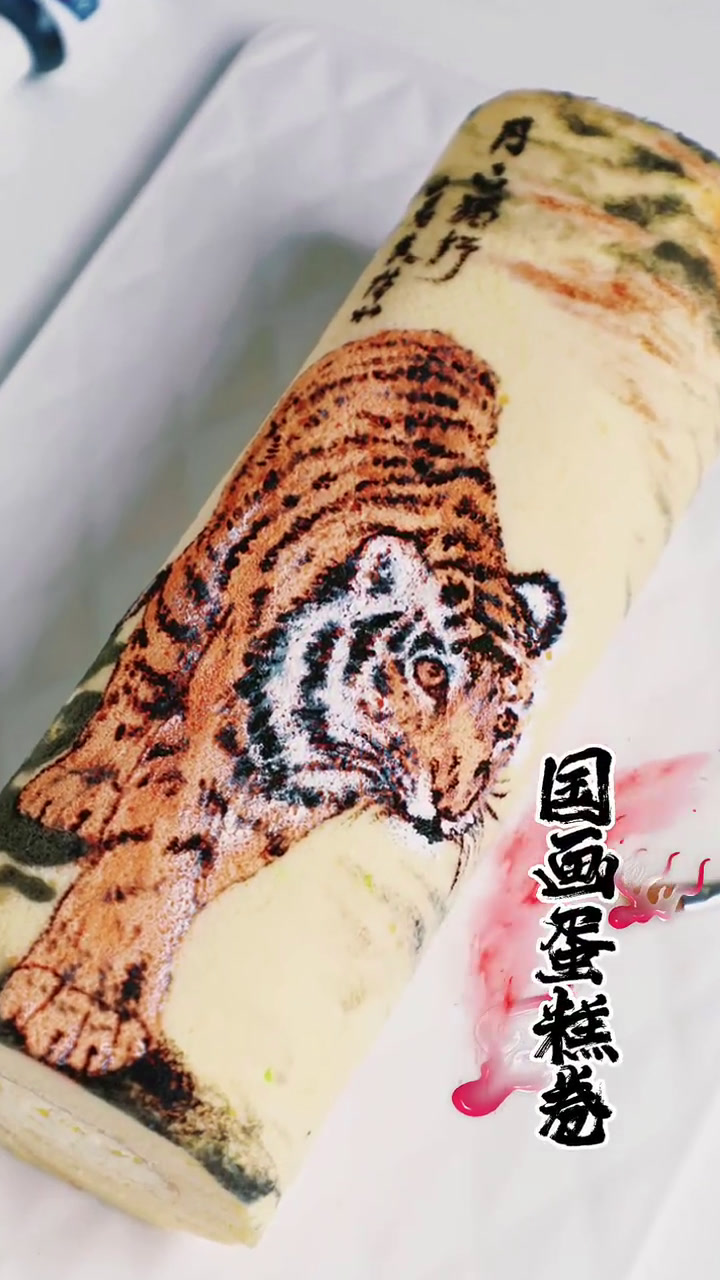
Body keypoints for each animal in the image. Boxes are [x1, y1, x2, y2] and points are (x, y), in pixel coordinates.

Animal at [0, 328, 566, 1077]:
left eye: (505, 725)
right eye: (430, 674)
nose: (451, 806)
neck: (333, 753)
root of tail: (437, 338)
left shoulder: (288, 810)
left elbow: (190, 869)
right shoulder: (209, 746)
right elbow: (157, 858)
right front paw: (78, 1009)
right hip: (202, 572)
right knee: (147, 661)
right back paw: (74, 787)